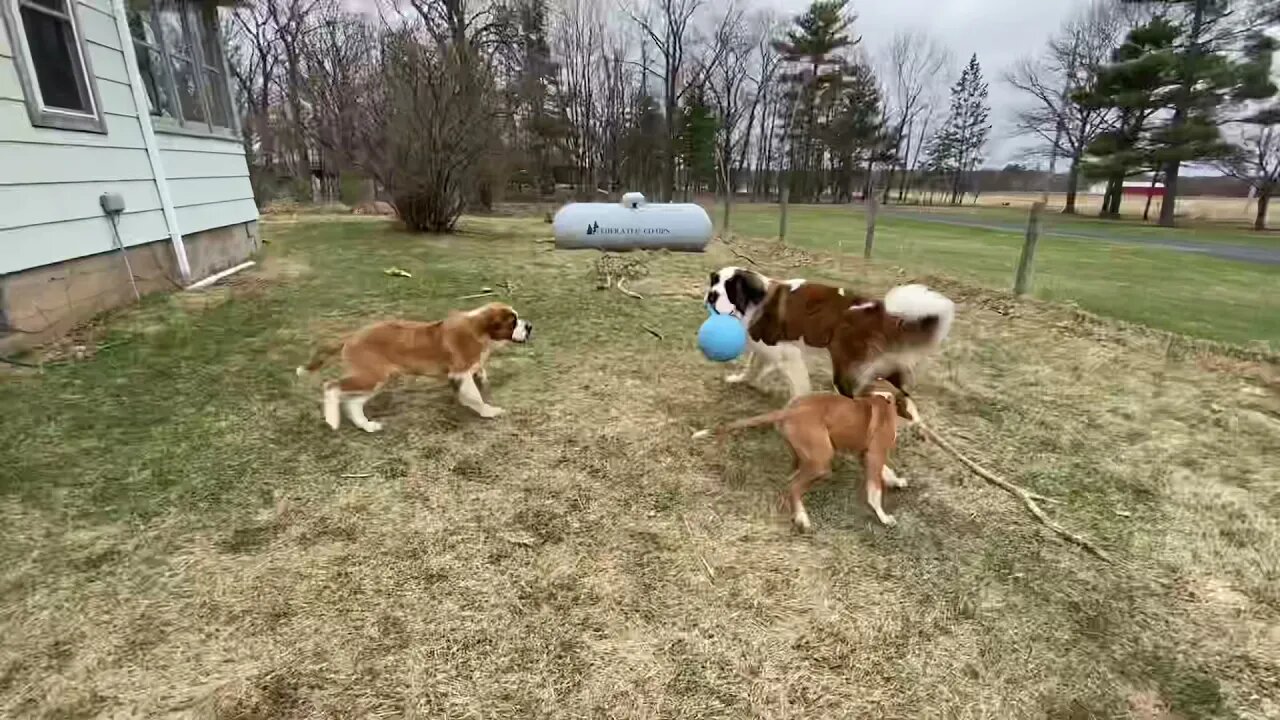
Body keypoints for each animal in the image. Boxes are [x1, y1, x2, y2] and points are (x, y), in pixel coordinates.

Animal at [294, 299, 529, 427]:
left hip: (376, 379)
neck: (478, 328)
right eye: (513, 322)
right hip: (370, 376)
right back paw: (332, 420)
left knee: (353, 402)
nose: (530, 326)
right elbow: (474, 396)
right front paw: (487, 411)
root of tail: (351, 336)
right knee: (331, 386)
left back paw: (367, 426)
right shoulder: (460, 372)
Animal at [696, 381, 916, 527]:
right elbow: (875, 491)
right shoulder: (874, 456)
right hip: (821, 460)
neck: (882, 398)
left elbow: (886, 471)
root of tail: (792, 410)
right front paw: (884, 517)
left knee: (792, 476)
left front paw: (897, 481)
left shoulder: (865, 454)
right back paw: (802, 517)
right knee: (793, 485)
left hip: (806, 455)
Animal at [706, 266, 957, 397]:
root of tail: (878, 310)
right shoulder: (764, 347)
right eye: (714, 283)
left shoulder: (789, 354)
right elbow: (753, 365)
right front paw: (743, 380)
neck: (755, 300)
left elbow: (799, 387)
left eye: (729, 288)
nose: (711, 295)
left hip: (845, 368)